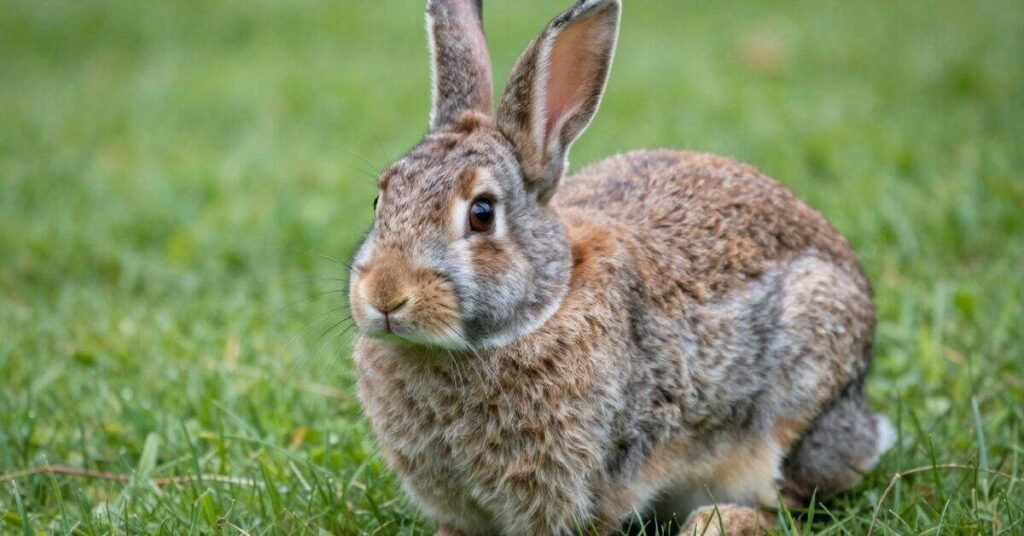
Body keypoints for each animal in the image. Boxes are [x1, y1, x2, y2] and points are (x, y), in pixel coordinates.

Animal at [347, 0, 895, 534]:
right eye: (380, 199)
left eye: (482, 213)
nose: (385, 295)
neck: (544, 307)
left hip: (796, 399)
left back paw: (717, 522)